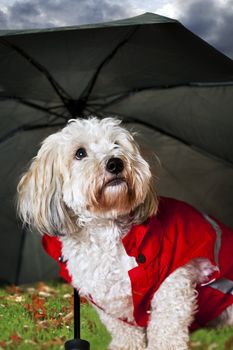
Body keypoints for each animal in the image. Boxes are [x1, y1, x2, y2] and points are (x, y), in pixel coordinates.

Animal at [17, 117, 233, 350]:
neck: (107, 232)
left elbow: (166, 329)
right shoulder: (111, 303)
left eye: (116, 144)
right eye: (80, 153)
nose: (115, 163)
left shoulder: (172, 285)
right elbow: (124, 332)